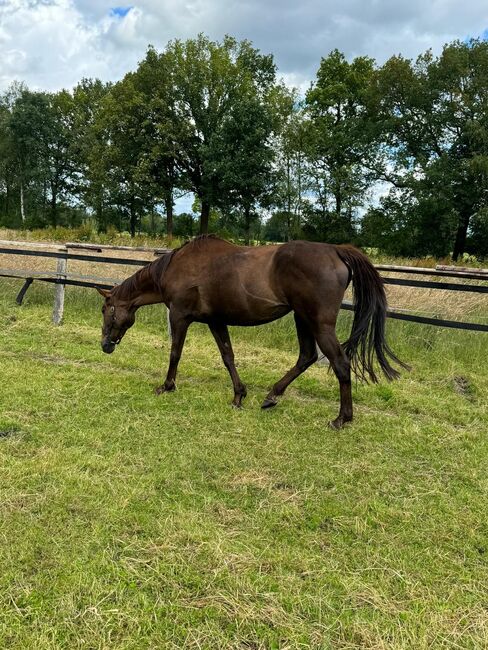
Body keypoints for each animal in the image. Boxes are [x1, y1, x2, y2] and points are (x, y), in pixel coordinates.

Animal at [97, 235, 406, 428]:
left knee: (340, 364)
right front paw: (238, 396)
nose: (105, 345)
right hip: (302, 318)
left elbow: (175, 353)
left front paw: (167, 386)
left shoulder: (180, 316)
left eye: (105, 310)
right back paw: (272, 396)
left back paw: (342, 418)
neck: (176, 267)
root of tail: (336, 250)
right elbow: (228, 357)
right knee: (306, 357)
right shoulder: (216, 321)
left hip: (318, 323)